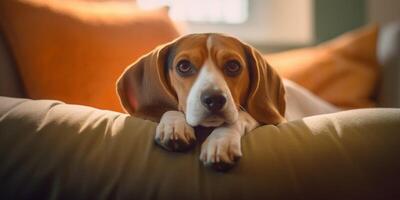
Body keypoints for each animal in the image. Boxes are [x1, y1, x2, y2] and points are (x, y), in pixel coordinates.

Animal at [115, 32, 288, 170]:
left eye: (233, 66)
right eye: (184, 66)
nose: (214, 99)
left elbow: (239, 118)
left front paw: (220, 142)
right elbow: (169, 109)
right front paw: (174, 125)